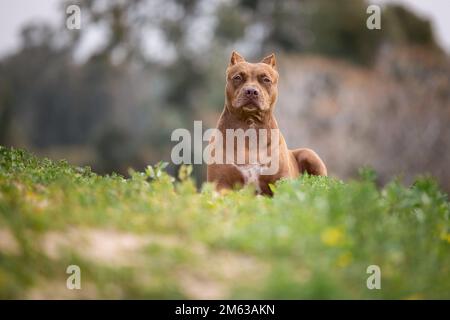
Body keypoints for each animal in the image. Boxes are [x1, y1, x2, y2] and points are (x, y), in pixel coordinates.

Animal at [206, 52, 326, 195]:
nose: (251, 91)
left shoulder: (282, 181)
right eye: (238, 77)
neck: (249, 125)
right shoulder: (220, 183)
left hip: (309, 154)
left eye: (266, 80)